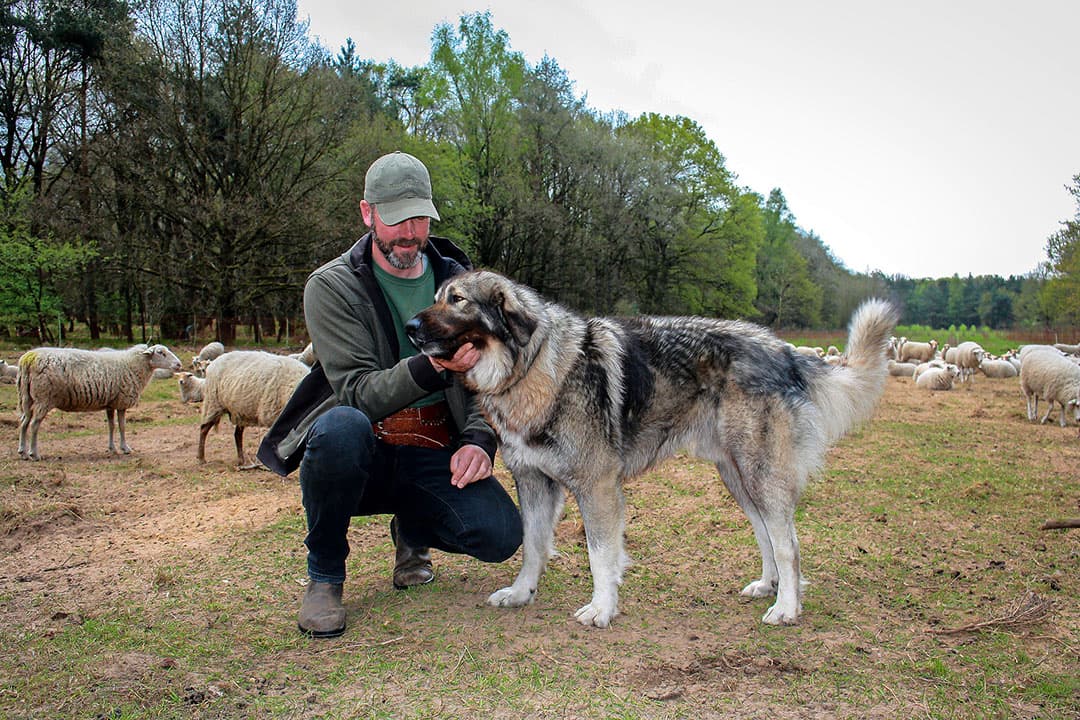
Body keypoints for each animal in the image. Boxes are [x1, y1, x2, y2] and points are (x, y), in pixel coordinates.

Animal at [406, 270, 897, 626]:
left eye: (457, 300)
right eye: (438, 296)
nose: (410, 327)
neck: (531, 370)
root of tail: (785, 351)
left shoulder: (597, 487)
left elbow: (600, 555)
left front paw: (602, 609)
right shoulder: (534, 483)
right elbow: (533, 545)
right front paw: (522, 592)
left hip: (760, 475)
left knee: (789, 544)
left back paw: (787, 609)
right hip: (738, 478)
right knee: (767, 537)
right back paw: (767, 586)